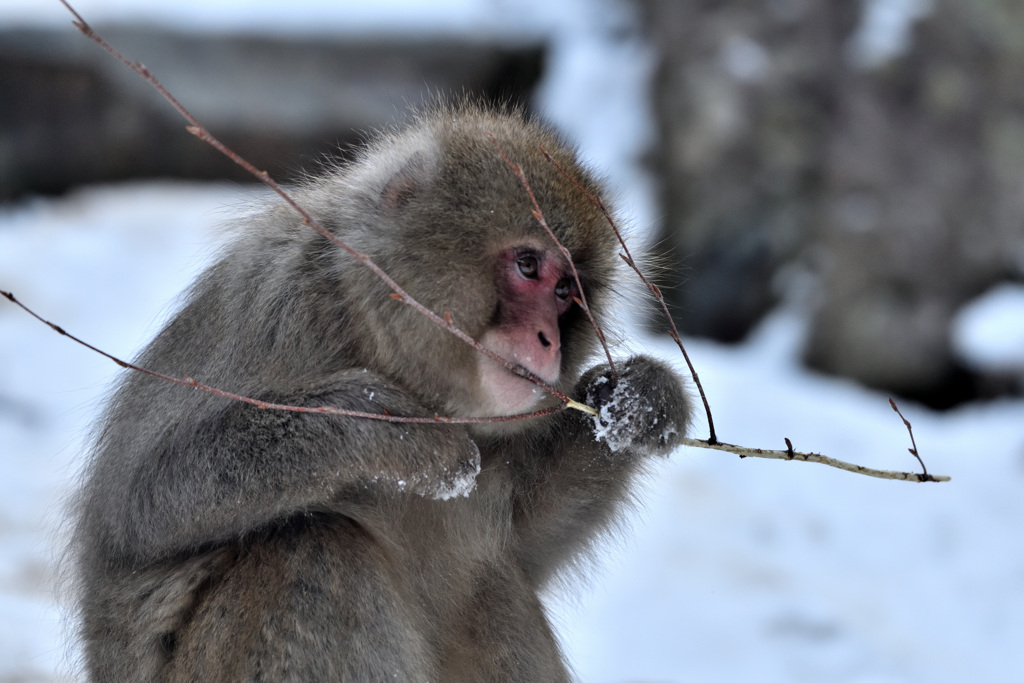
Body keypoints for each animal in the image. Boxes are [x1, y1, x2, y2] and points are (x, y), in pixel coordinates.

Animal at [72, 104, 692, 679]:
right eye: (527, 264)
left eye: (566, 292)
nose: (548, 340)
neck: (373, 336)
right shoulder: (276, 304)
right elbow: (140, 505)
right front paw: (382, 427)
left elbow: (527, 541)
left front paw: (636, 400)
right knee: (309, 549)